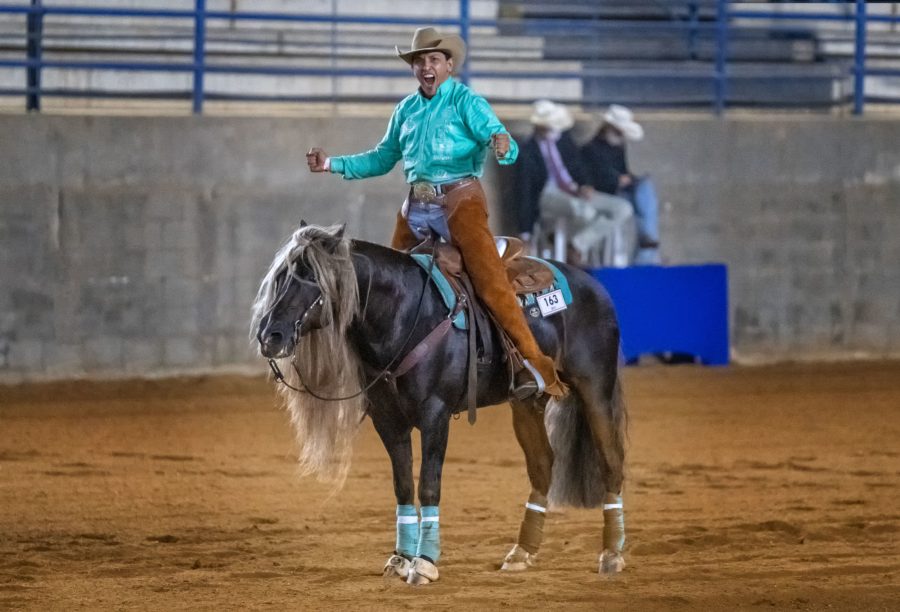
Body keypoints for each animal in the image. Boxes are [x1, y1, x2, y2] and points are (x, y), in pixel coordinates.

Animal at [251, 223, 627, 585]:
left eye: (313, 278)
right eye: (280, 278)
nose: (270, 336)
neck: (404, 318)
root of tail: (593, 284)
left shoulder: (436, 414)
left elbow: (429, 484)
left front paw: (424, 563)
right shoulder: (388, 420)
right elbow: (403, 485)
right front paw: (400, 559)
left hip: (595, 387)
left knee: (611, 460)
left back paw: (612, 554)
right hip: (527, 403)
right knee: (542, 465)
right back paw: (521, 553)